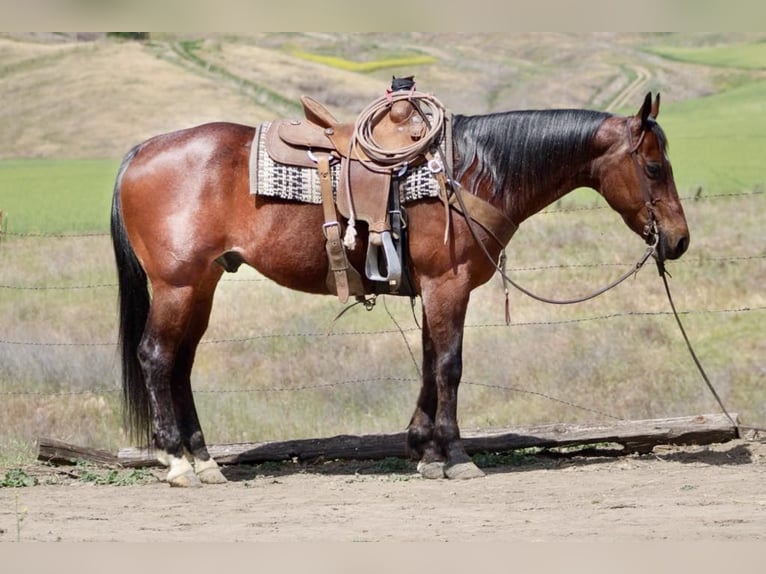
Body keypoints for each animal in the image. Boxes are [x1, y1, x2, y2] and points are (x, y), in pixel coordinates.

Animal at [110, 92, 689, 486]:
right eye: (654, 166)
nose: (679, 240)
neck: (469, 172)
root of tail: (142, 150)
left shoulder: (436, 290)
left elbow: (432, 362)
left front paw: (427, 453)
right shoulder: (448, 285)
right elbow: (450, 366)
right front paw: (456, 456)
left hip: (202, 284)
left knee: (180, 363)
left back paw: (205, 460)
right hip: (178, 284)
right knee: (156, 356)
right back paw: (177, 462)